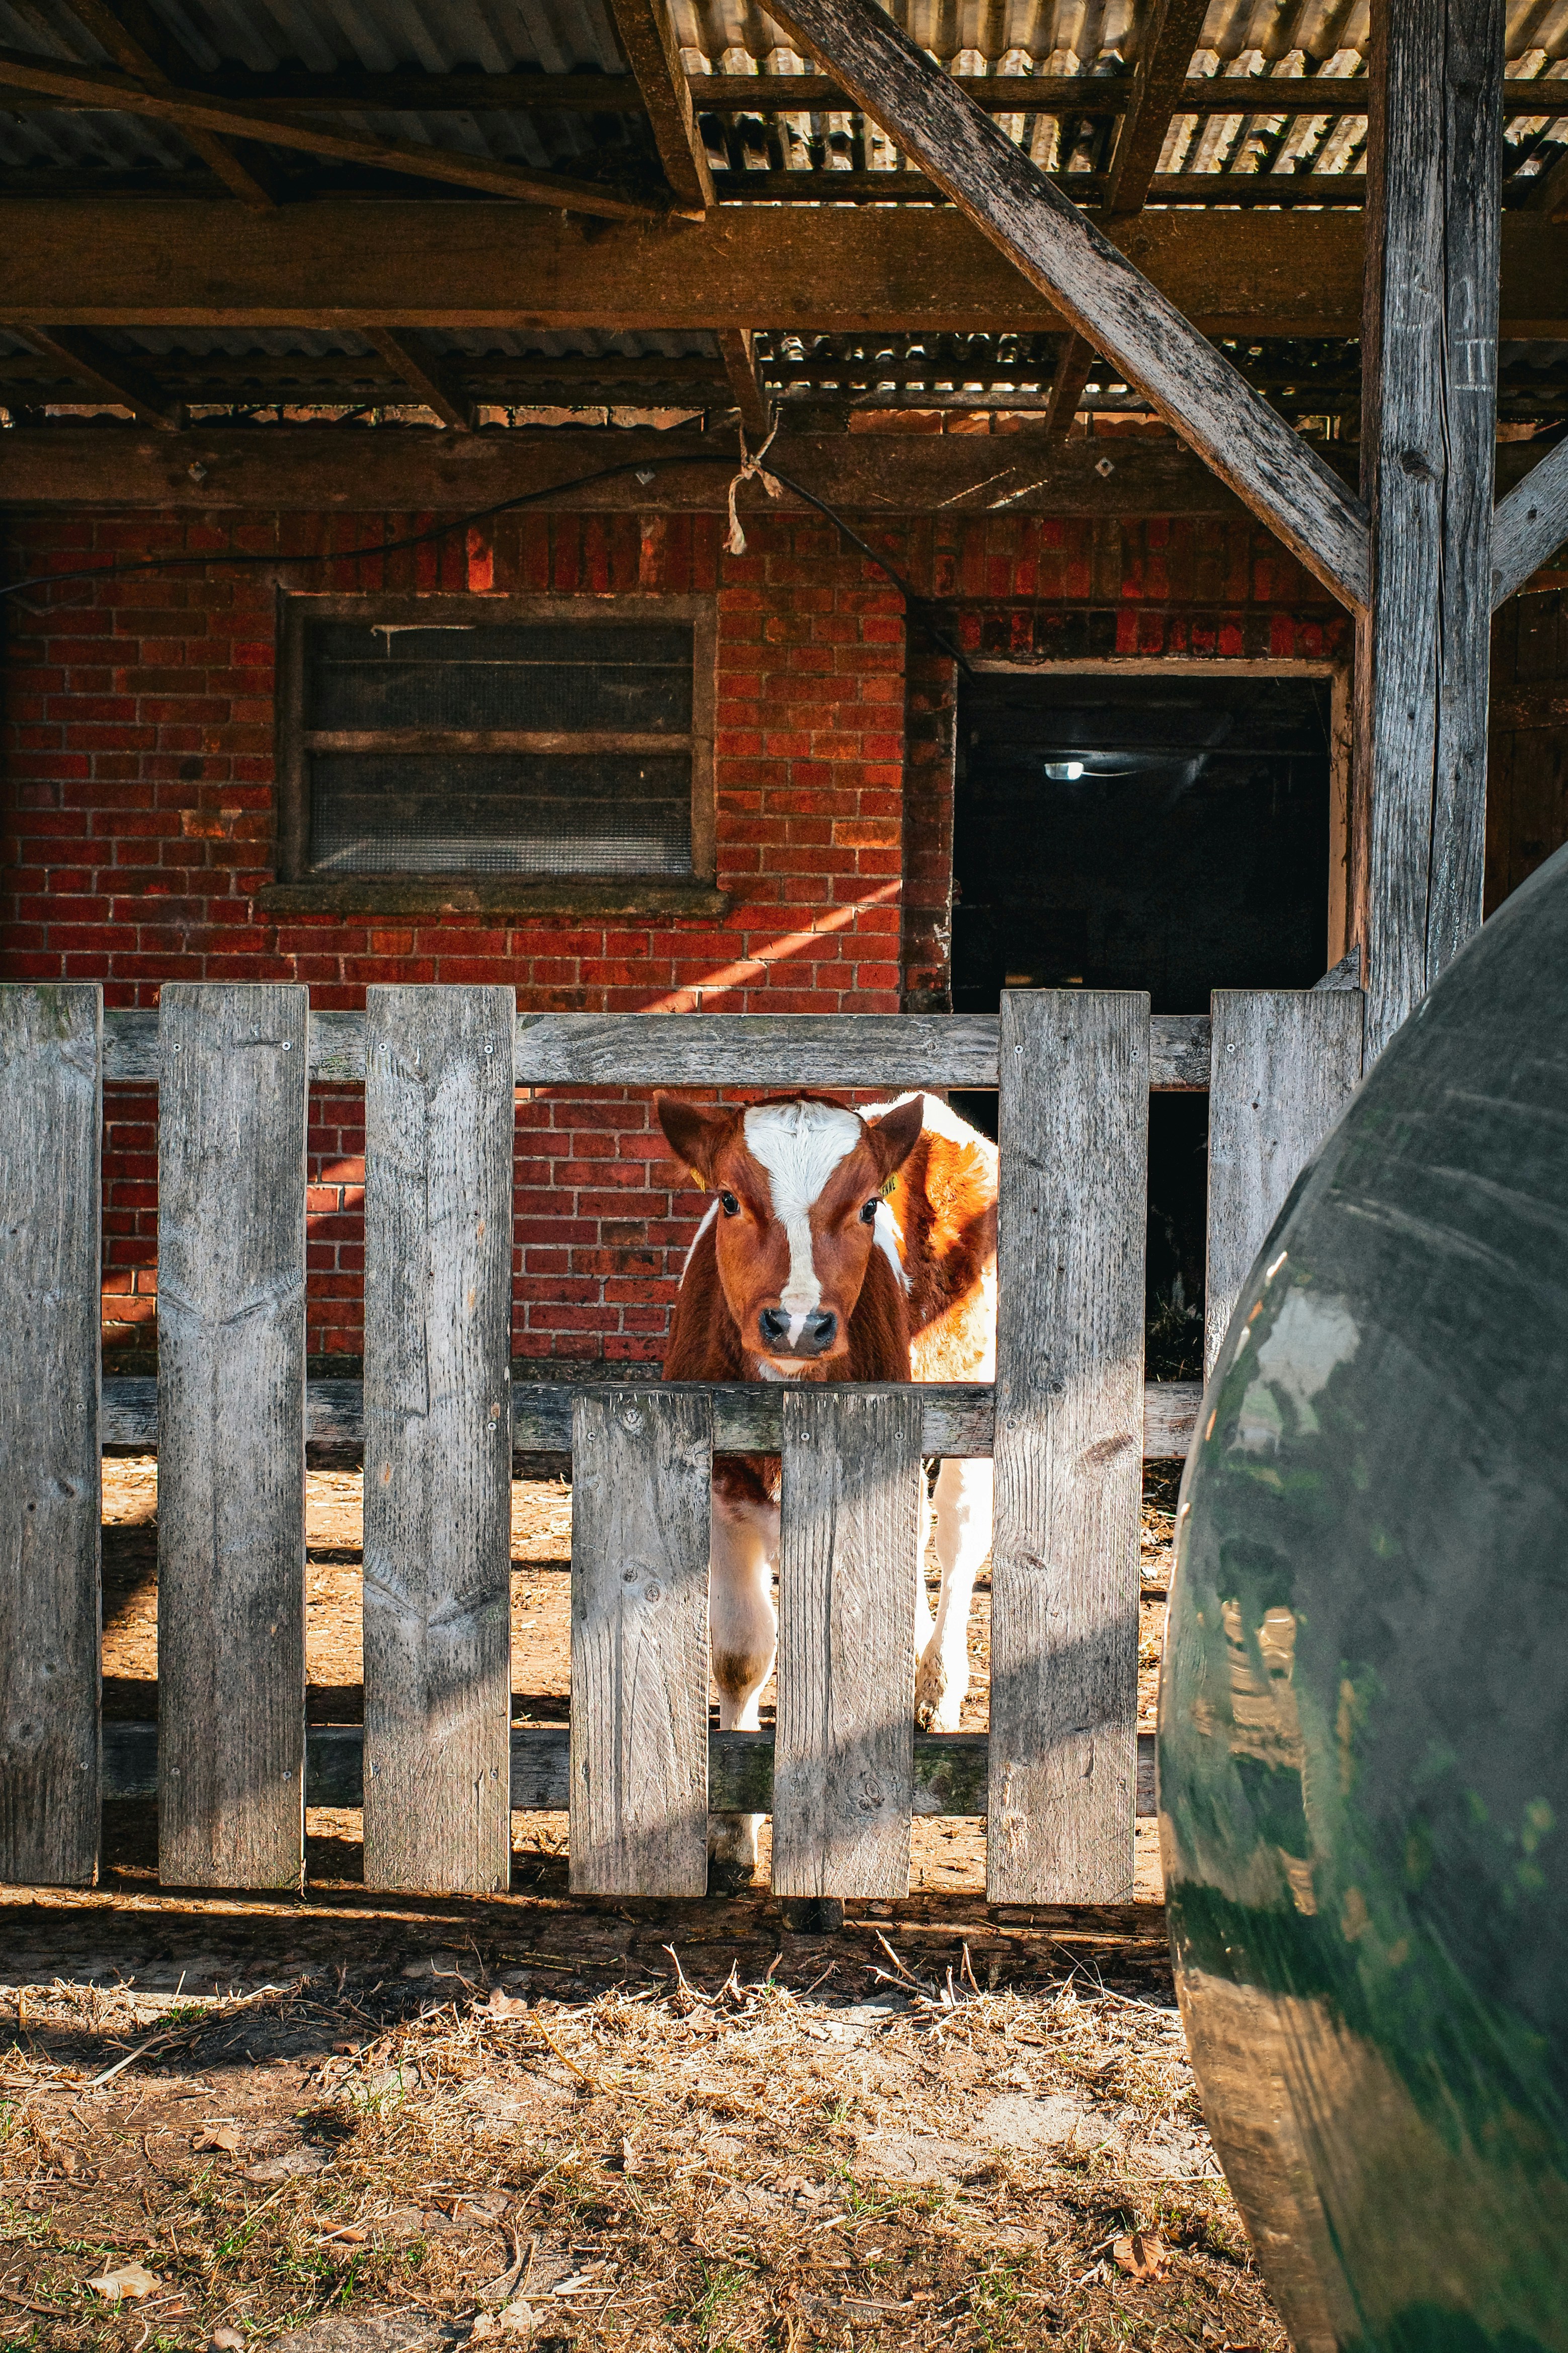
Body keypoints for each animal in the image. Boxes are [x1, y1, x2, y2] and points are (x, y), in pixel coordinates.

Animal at [654, 1088, 998, 1889]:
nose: (798, 1323)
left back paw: (938, 1685)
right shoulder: (723, 1492)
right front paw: (730, 1832)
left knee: (959, 1537)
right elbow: (740, 1654)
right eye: (729, 1199)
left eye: (869, 1205)